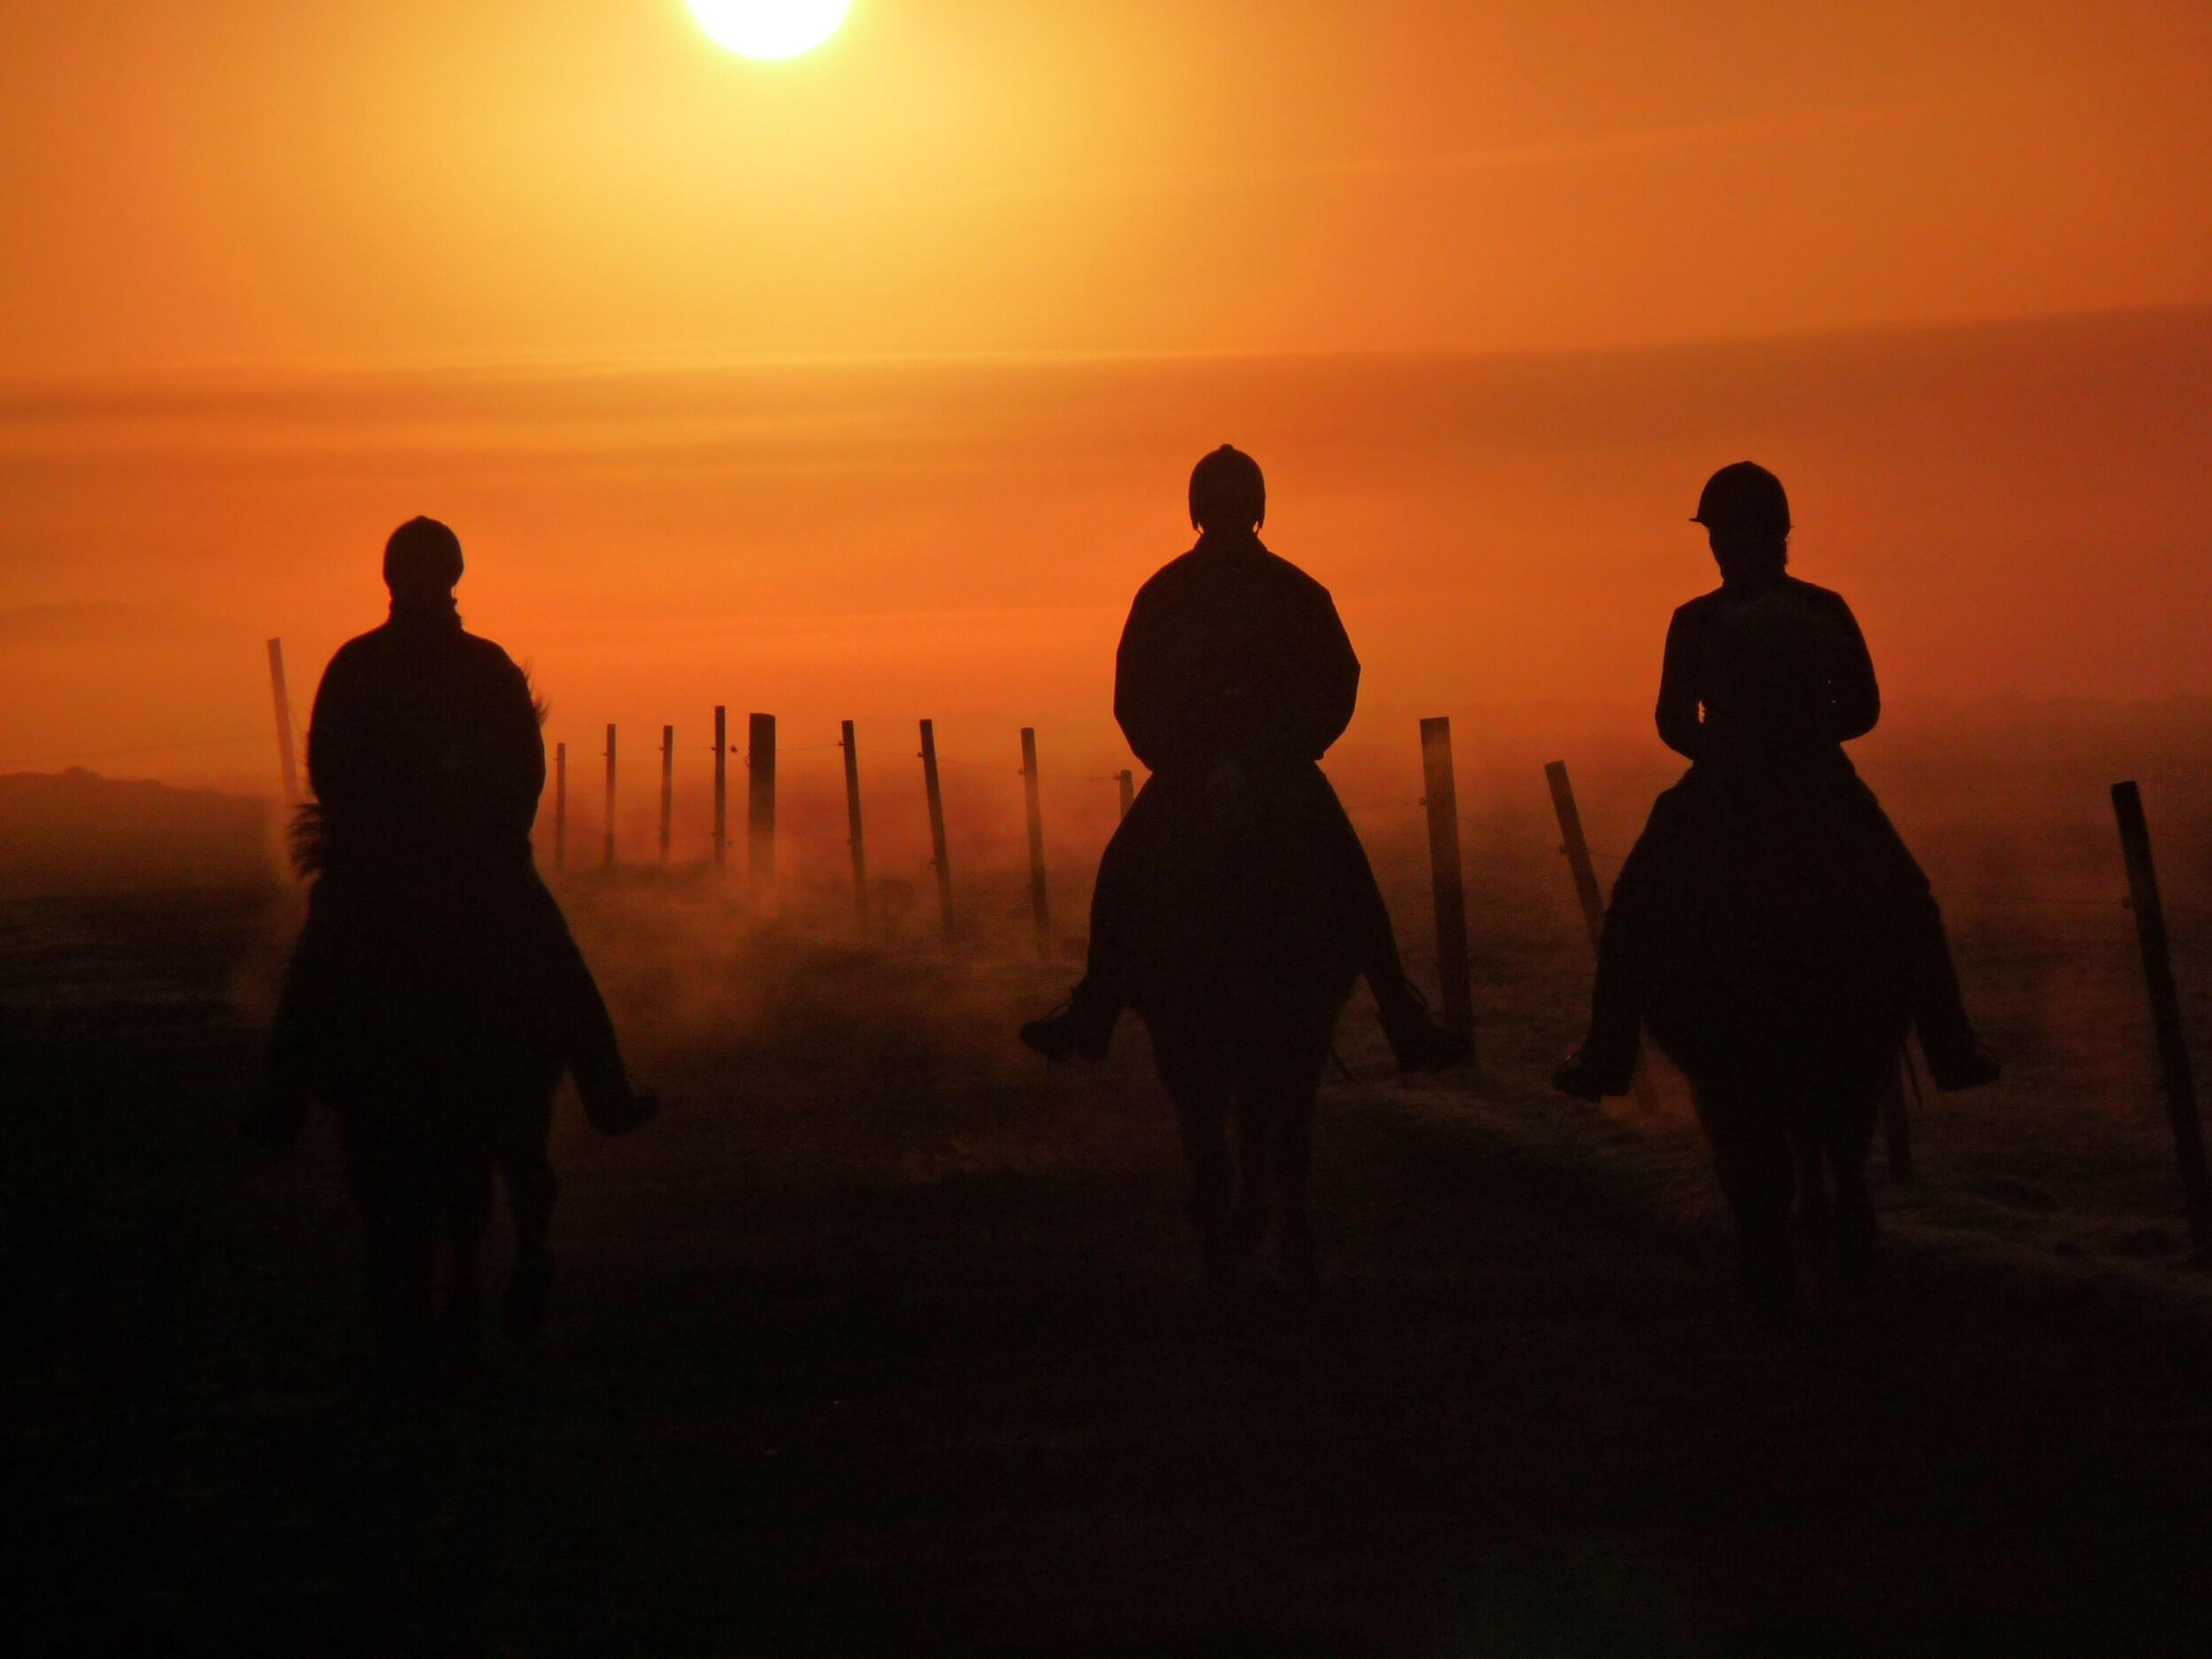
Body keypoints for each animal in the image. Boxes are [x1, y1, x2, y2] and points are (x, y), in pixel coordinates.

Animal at [1115, 765, 1354, 1300]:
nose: (1235, 819)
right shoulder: (1182, 1040)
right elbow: (1206, 1144)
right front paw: (1217, 1253)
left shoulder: (1300, 1032)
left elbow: (1281, 1140)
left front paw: (1289, 1247)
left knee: (1265, 1128)